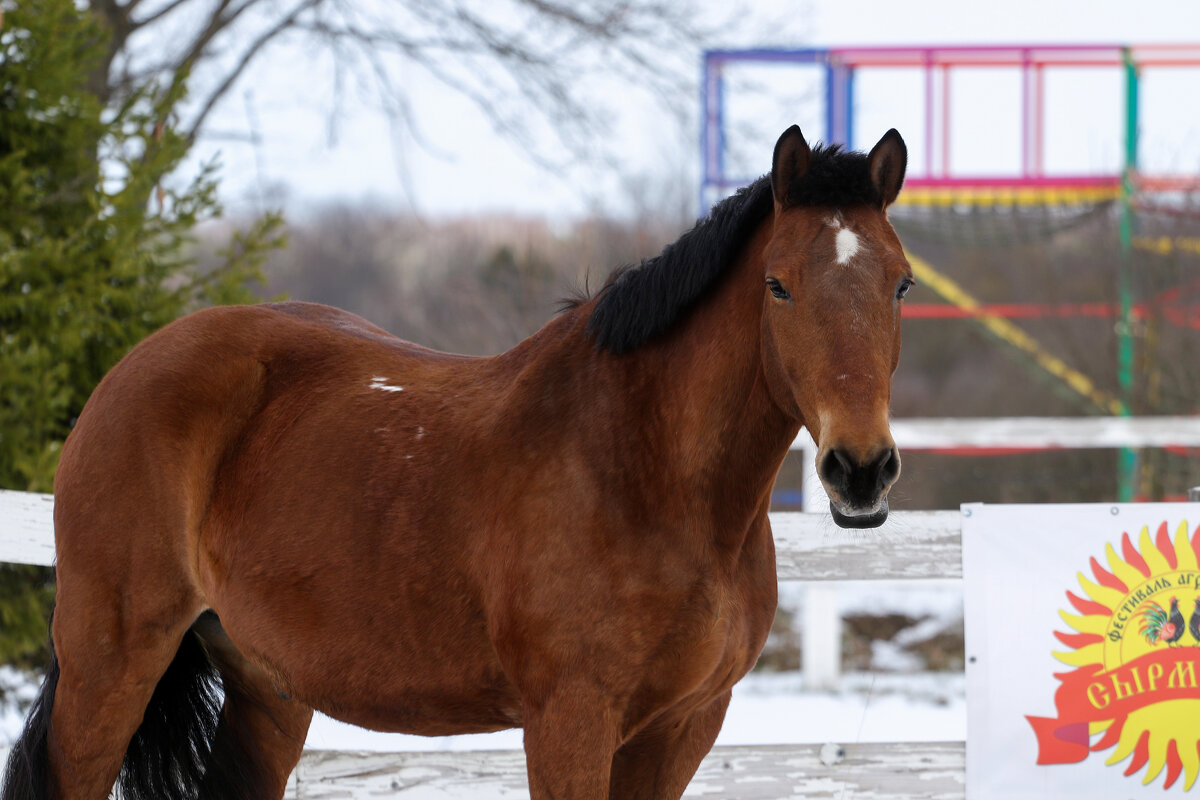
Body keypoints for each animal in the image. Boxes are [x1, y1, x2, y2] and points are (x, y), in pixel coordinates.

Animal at [2, 125, 907, 800]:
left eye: (899, 284)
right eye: (778, 285)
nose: (860, 469)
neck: (647, 473)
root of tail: (131, 371)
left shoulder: (684, 726)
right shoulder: (570, 720)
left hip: (266, 688)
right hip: (111, 661)